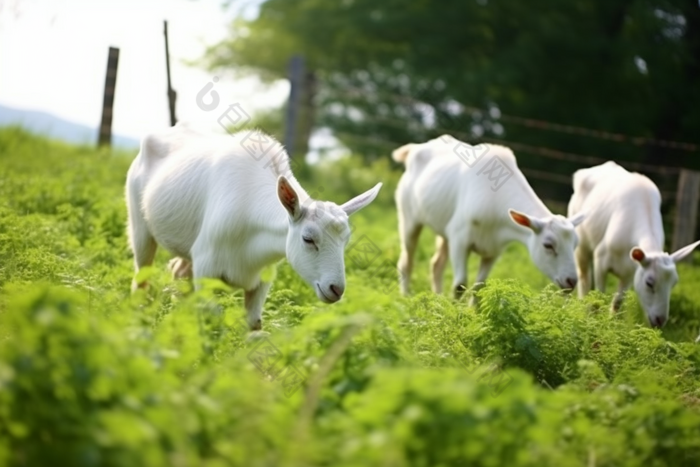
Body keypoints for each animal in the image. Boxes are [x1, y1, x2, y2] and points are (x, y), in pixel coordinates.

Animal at [123, 122, 380, 330]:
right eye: (308, 239)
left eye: (345, 241)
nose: (336, 289)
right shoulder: (207, 269)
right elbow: (214, 319)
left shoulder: (262, 279)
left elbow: (254, 325)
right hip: (140, 226)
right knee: (141, 277)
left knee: (178, 271)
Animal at [392, 135, 584, 300]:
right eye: (548, 245)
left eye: (575, 245)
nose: (571, 281)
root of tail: (415, 148)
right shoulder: (460, 239)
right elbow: (459, 285)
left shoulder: (494, 250)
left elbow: (479, 287)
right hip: (408, 218)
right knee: (407, 260)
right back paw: (405, 296)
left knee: (436, 265)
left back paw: (438, 299)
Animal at [568, 161, 700, 330]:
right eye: (649, 283)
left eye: (674, 283)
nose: (660, 320)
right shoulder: (601, 259)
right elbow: (599, 298)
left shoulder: (630, 274)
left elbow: (617, 303)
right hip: (582, 245)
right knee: (584, 278)